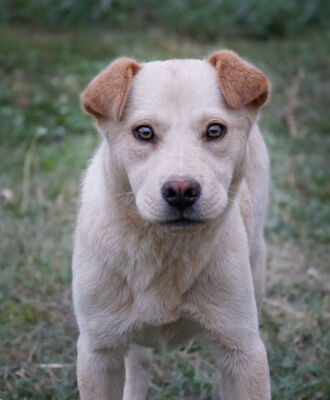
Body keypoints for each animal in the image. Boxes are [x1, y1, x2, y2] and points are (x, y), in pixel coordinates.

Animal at [72, 50, 270, 400]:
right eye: (144, 132)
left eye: (215, 130)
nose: (181, 191)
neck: (165, 249)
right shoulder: (98, 352)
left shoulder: (244, 351)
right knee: (138, 361)